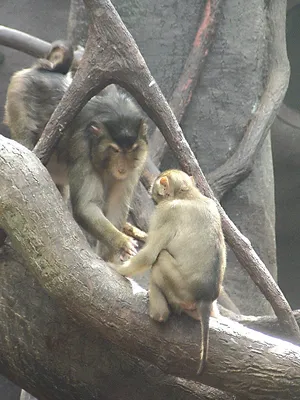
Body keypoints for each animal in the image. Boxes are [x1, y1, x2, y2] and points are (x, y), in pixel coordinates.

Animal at [4, 42, 149, 260]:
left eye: (131, 150)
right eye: (115, 150)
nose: (122, 168)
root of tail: (47, 70)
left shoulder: (138, 162)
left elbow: (116, 208)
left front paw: (111, 259)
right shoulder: (82, 148)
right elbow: (86, 207)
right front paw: (121, 242)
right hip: (19, 95)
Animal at [116, 170, 226, 376]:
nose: (153, 196)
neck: (188, 195)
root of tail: (205, 299)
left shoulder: (166, 213)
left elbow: (150, 255)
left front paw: (116, 268)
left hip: (180, 288)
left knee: (160, 259)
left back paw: (158, 312)